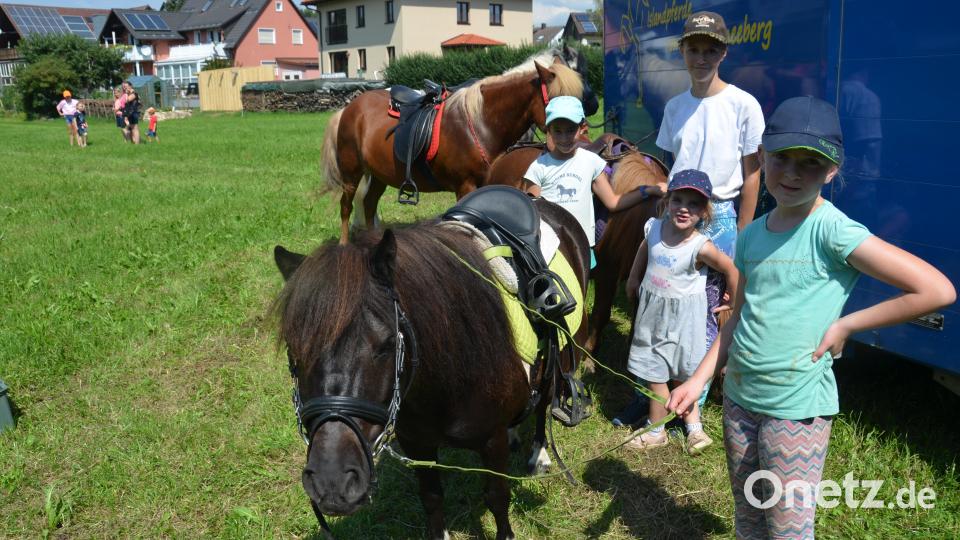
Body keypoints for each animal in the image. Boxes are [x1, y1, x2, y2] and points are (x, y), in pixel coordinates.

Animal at [273, 198, 590, 539]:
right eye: (295, 350)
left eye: (388, 344)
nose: (332, 483)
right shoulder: (417, 444)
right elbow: (432, 499)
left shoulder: (491, 444)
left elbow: (497, 497)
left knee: (544, 404)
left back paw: (539, 455)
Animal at [322, 51, 586, 244]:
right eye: (557, 101)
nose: (578, 136)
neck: (480, 123)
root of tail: (348, 109)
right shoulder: (465, 186)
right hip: (351, 173)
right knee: (346, 207)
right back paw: (344, 246)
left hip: (378, 175)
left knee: (368, 205)